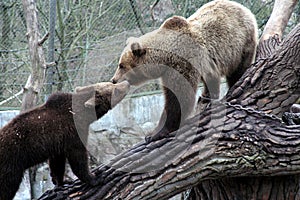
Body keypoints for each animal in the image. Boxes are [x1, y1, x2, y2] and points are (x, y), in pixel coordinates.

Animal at [0, 81, 129, 200]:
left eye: (111, 84)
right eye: (115, 89)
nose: (126, 83)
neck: (82, 114)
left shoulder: (58, 142)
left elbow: (57, 164)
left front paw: (61, 181)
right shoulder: (72, 133)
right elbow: (78, 158)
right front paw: (95, 177)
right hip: (11, 161)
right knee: (7, 186)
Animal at [111, 0, 256, 141]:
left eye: (121, 65)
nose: (113, 80)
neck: (165, 57)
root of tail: (243, 8)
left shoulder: (182, 63)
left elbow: (180, 97)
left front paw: (154, 133)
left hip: (240, 45)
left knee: (237, 70)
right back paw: (206, 97)